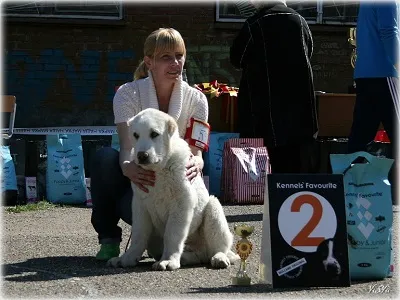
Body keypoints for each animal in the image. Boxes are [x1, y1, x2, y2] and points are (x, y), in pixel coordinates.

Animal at [107, 108, 238, 272]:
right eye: (135, 135)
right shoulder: (140, 204)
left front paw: (168, 260)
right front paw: (127, 258)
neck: (159, 169)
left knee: (217, 245)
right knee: (198, 255)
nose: (142, 156)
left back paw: (219, 257)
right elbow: (138, 234)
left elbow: (173, 233)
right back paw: (185, 257)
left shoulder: (182, 202)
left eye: (154, 134)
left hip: (213, 208)